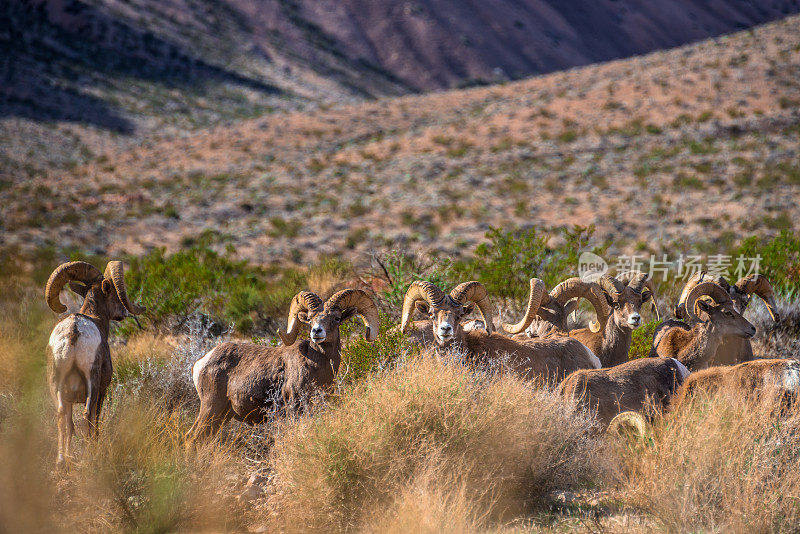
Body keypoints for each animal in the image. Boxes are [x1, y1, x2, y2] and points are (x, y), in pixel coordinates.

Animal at [45, 262, 145, 466]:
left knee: (61, 416)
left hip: (56, 384)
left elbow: (69, 425)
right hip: (92, 381)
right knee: (88, 415)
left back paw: (61, 461)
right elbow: (96, 420)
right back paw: (89, 456)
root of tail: (74, 331)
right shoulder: (103, 390)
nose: (123, 313)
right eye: (114, 291)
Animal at [188, 288, 378, 444]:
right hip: (211, 408)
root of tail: (201, 362)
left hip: (222, 416)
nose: (316, 331)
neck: (317, 365)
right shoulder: (294, 406)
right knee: (192, 438)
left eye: (336, 319)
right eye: (310, 319)